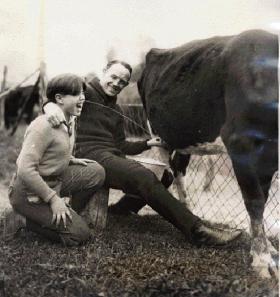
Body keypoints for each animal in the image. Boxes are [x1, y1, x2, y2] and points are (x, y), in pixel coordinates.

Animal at [139, 30, 278, 278]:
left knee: (178, 168)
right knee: (164, 172)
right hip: (158, 136)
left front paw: (266, 248)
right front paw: (263, 260)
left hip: (183, 136)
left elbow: (263, 195)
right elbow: (255, 200)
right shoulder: (238, 142)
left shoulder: (270, 154)